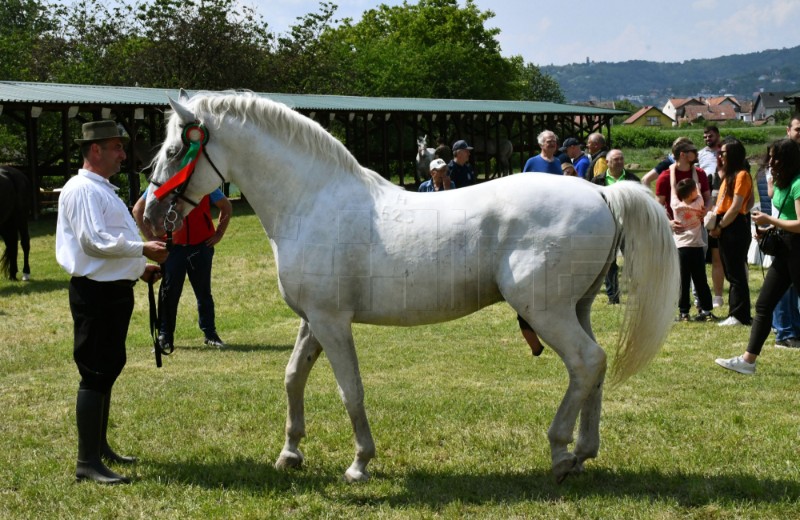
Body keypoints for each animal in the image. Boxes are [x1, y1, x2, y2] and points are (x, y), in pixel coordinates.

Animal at [144, 91, 676, 486]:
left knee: (586, 362)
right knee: (595, 366)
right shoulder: (313, 319)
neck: (312, 201)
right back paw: (584, 451)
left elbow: (350, 390)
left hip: (546, 311)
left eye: (173, 152)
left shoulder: (332, 322)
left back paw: (562, 452)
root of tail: (603, 193)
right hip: (576, 307)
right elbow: (293, 377)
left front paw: (359, 463)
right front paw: (290, 453)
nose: (149, 213)